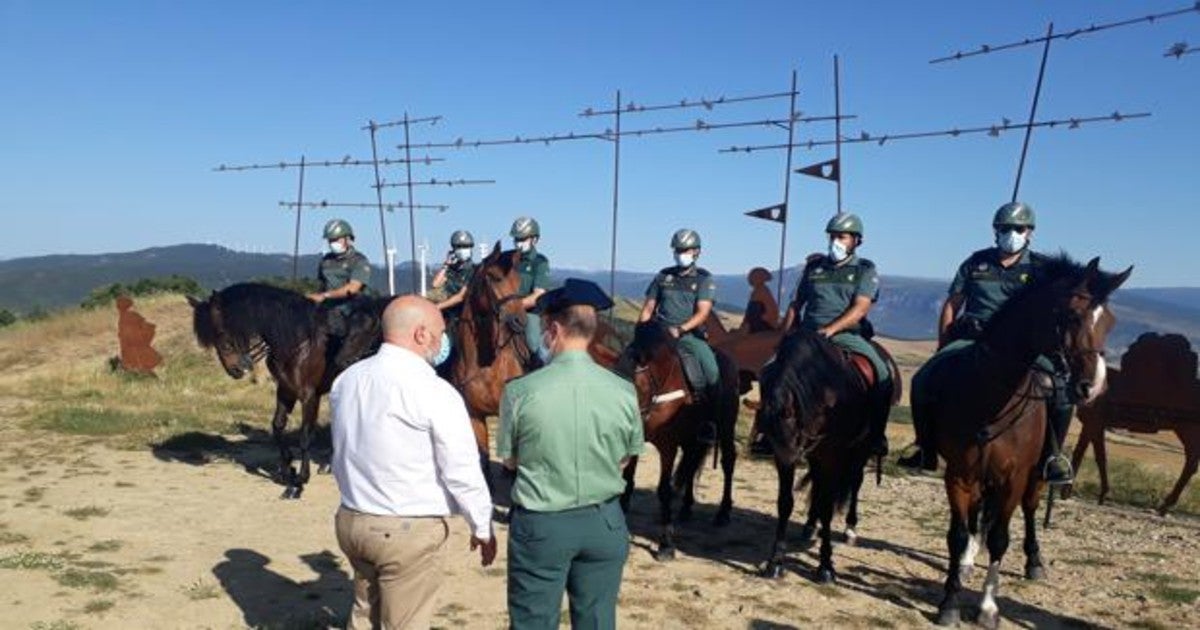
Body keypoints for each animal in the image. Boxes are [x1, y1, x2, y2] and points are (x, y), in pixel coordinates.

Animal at [619, 321, 739, 556]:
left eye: (633, 386)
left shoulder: (668, 446)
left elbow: (664, 489)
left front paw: (666, 543)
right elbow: (628, 478)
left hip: (725, 428)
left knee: (728, 462)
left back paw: (723, 512)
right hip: (691, 438)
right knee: (691, 464)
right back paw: (686, 507)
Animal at [753, 326, 897, 583]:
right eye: (771, 435)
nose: (791, 458)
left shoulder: (830, 455)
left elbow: (828, 507)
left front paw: (826, 567)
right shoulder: (788, 455)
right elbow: (785, 502)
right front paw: (775, 562)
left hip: (859, 451)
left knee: (855, 482)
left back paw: (850, 528)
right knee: (819, 487)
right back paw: (811, 524)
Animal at [912, 256, 1128, 628]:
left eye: (1110, 322)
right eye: (1073, 316)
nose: (1094, 386)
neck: (992, 396)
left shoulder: (1014, 478)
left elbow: (1001, 538)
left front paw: (987, 608)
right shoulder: (959, 474)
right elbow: (958, 534)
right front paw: (950, 601)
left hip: (1035, 476)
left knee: (1029, 510)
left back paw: (1034, 562)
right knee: (977, 516)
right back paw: (968, 561)